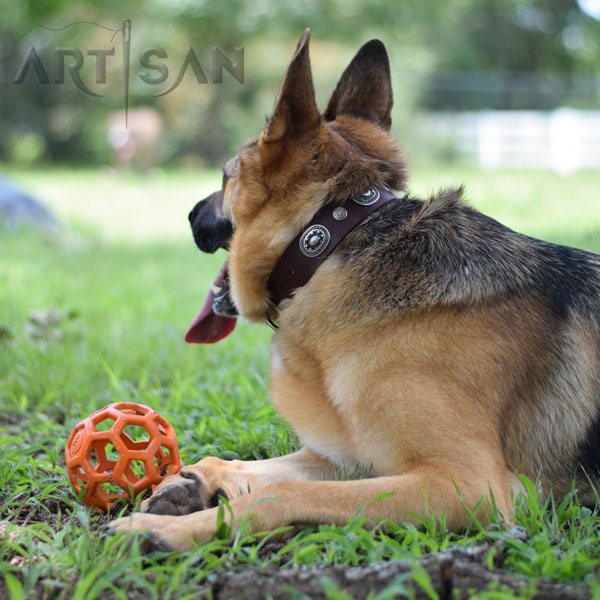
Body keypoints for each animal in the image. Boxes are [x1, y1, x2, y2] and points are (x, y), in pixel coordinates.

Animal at [110, 30, 600, 552]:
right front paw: (192, 483)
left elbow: (282, 492)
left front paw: (168, 530)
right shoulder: (347, 457)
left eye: (226, 175)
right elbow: (252, 467)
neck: (331, 241)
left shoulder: (469, 486)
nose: (188, 214)